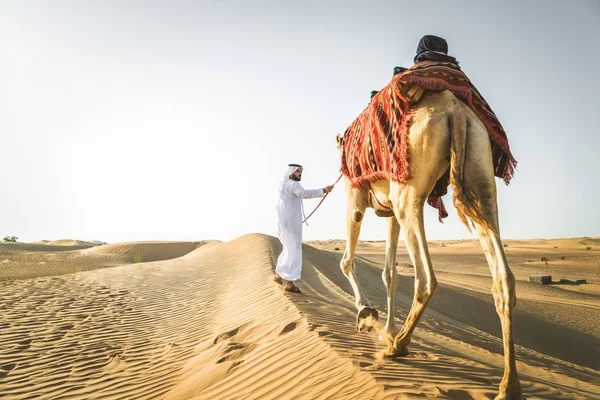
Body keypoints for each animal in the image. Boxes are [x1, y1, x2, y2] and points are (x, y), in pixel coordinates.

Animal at [336, 89, 524, 398]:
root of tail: (455, 111)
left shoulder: (357, 194)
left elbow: (347, 260)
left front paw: (366, 315)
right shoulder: (388, 212)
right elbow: (389, 273)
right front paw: (386, 328)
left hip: (409, 191)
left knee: (426, 278)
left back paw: (398, 346)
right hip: (479, 172)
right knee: (504, 278)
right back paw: (509, 386)